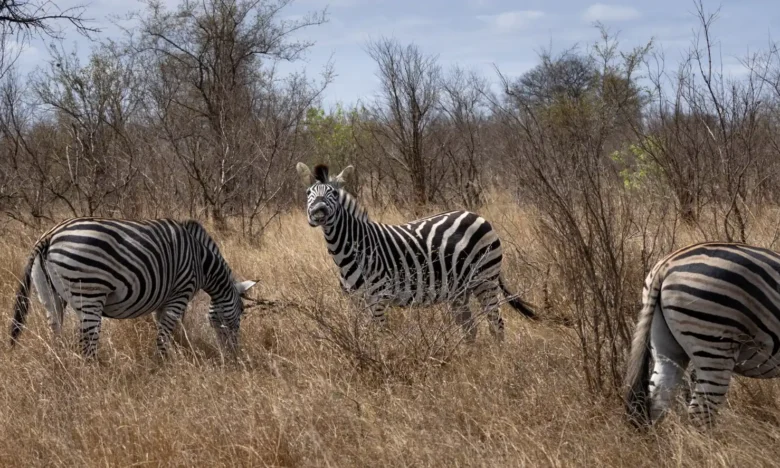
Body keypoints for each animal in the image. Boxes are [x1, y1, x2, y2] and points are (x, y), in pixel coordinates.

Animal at [9, 217, 257, 359]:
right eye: (242, 312)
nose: (233, 354)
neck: (202, 262)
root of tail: (50, 235)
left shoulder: (166, 299)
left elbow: (170, 329)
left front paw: (178, 353)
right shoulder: (180, 293)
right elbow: (167, 331)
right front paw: (164, 362)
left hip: (50, 295)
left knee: (56, 333)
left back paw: (61, 367)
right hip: (89, 293)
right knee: (87, 345)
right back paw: (93, 378)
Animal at [295, 162, 535, 341]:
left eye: (334, 193)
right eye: (308, 192)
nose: (318, 213)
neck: (349, 252)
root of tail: (477, 215)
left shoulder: (378, 299)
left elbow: (379, 338)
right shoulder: (355, 302)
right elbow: (360, 337)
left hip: (485, 279)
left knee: (496, 325)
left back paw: (496, 361)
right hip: (460, 290)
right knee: (470, 329)